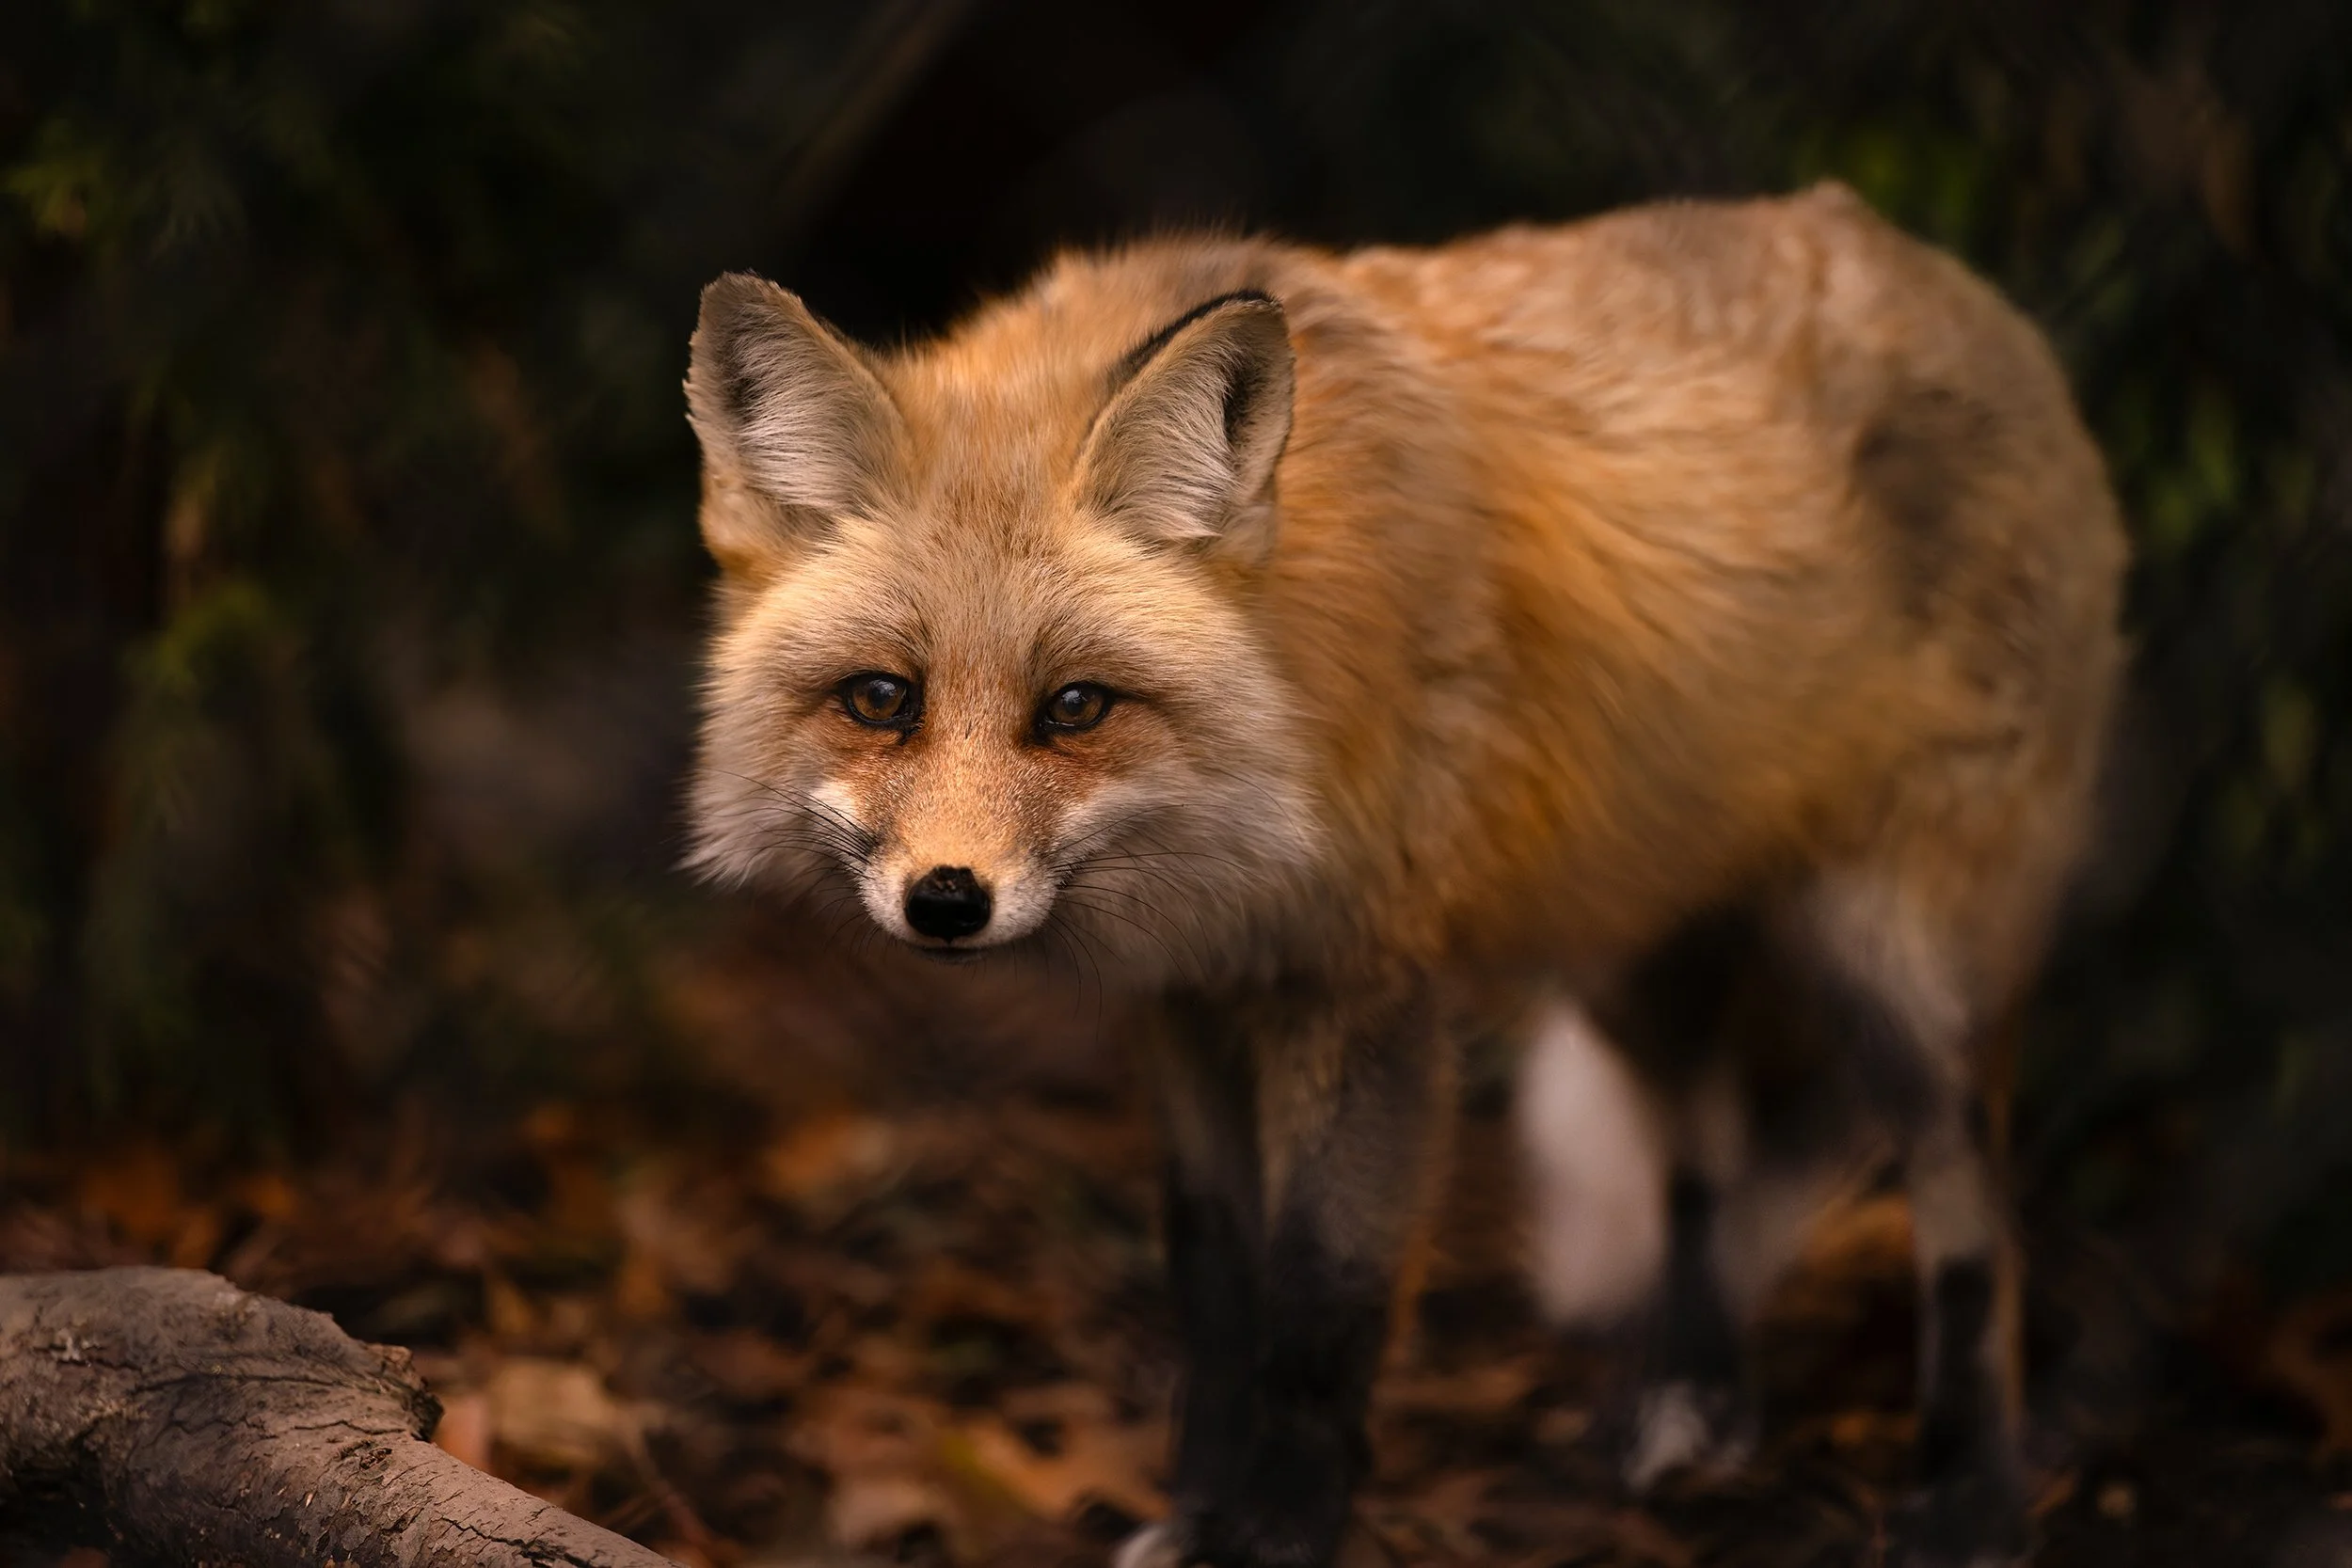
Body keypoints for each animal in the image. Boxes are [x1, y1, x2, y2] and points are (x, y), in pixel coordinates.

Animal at [681, 182, 2126, 1568]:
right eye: (882, 698)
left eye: (1076, 706)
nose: (947, 899)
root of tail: (1952, 274)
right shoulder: (1192, 998)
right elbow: (1217, 1280)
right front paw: (1199, 1506)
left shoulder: (1367, 984)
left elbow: (1325, 1288)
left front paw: (1276, 1527)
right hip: (1628, 954)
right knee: (1700, 1151)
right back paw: (1696, 1402)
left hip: (1902, 967)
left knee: (1976, 1224)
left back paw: (1973, 1500)